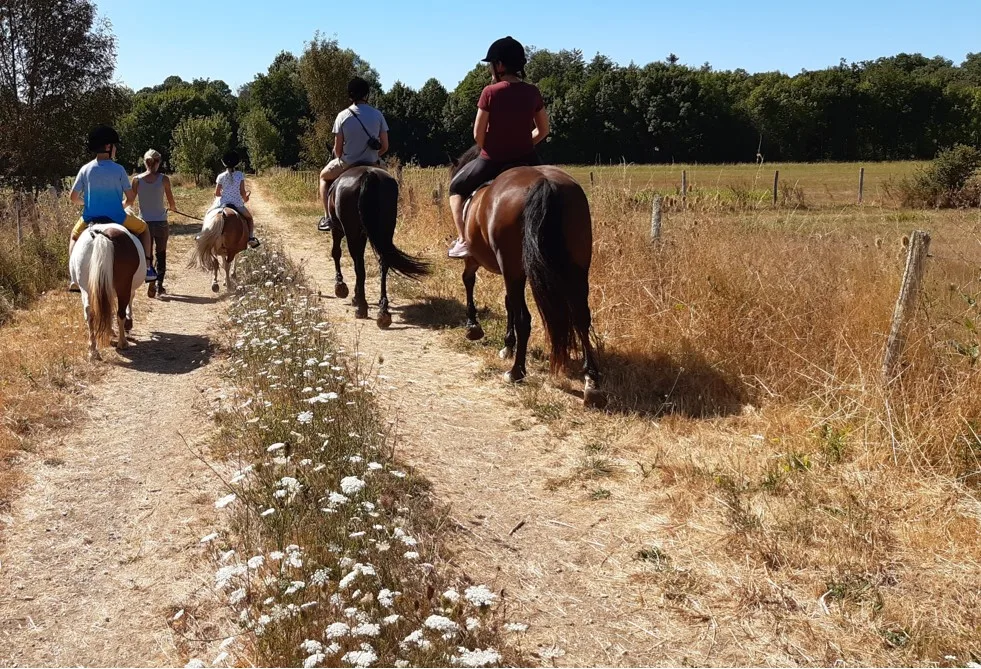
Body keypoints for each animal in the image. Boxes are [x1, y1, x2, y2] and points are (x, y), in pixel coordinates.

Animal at [69, 223, 146, 360]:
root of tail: (101, 236)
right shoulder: (128, 288)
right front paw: (127, 324)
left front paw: (109, 330)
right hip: (123, 287)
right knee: (120, 313)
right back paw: (122, 342)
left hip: (86, 287)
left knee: (90, 312)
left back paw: (93, 349)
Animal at [328, 164, 426, 326]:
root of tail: (368, 174)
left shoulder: (338, 230)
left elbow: (336, 253)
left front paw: (341, 286)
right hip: (385, 230)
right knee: (383, 263)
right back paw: (383, 311)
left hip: (352, 232)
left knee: (359, 266)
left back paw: (362, 307)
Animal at [448, 146, 600, 408]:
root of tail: (545, 183)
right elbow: (509, 302)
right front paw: (507, 345)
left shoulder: (479, 261)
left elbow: (469, 282)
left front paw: (474, 327)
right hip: (577, 269)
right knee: (582, 317)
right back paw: (591, 380)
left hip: (514, 268)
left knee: (525, 319)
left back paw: (516, 371)